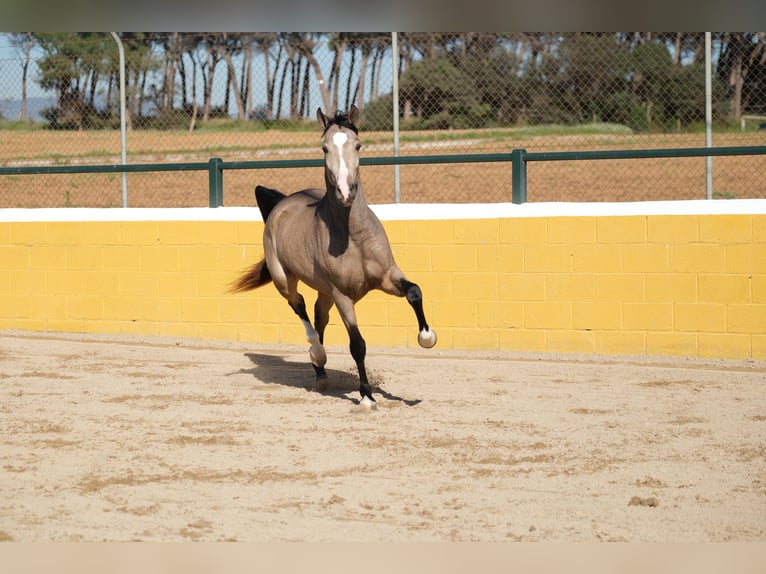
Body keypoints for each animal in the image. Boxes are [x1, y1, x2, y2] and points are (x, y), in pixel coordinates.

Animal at [232, 103, 438, 410]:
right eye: (324, 148)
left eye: (358, 145)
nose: (345, 191)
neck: (353, 237)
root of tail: (280, 204)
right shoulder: (343, 296)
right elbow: (357, 344)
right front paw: (366, 397)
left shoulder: (387, 277)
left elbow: (414, 291)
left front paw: (426, 337)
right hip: (285, 280)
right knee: (301, 308)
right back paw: (317, 355)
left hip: (325, 292)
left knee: (319, 318)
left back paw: (321, 374)